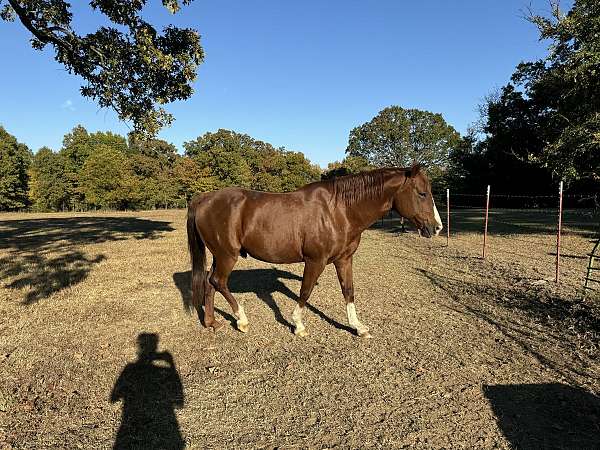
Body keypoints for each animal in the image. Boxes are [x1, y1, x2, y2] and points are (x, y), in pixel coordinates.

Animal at [185, 165, 442, 338]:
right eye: (422, 193)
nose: (437, 227)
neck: (339, 210)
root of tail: (204, 199)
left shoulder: (344, 260)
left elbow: (348, 291)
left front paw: (358, 327)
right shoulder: (315, 261)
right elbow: (306, 291)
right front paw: (298, 324)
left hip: (219, 255)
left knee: (209, 282)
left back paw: (211, 322)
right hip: (227, 255)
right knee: (219, 282)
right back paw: (242, 320)